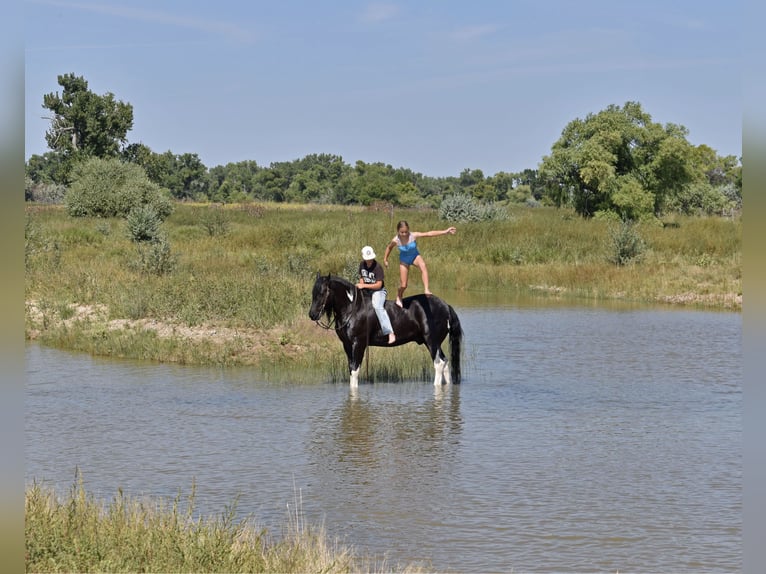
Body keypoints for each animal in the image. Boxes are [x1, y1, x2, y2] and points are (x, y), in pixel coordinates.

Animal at [308, 272, 462, 387]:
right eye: (313, 292)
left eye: (323, 292)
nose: (312, 315)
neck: (353, 309)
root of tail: (445, 306)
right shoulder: (347, 345)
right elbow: (351, 371)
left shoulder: (358, 344)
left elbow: (355, 371)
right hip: (434, 343)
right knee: (445, 363)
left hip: (431, 341)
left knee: (439, 364)